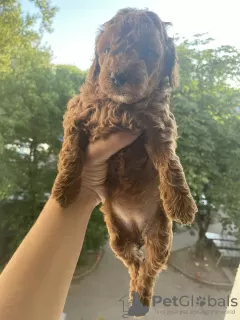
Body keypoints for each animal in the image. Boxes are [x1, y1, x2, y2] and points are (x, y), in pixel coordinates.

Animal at [52, 7, 197, 316]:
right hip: (117, 238)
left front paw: (181, 204)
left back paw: (141, 296)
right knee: (133, 264)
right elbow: (70, 152)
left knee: (148, 270)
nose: (118, 76)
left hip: (160, 236)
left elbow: (171, 164)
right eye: (106, 50)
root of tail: (137, 233)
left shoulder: (157, 126)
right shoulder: (77, 114)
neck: (121, 105)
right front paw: (64, 190)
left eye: (148, 52)